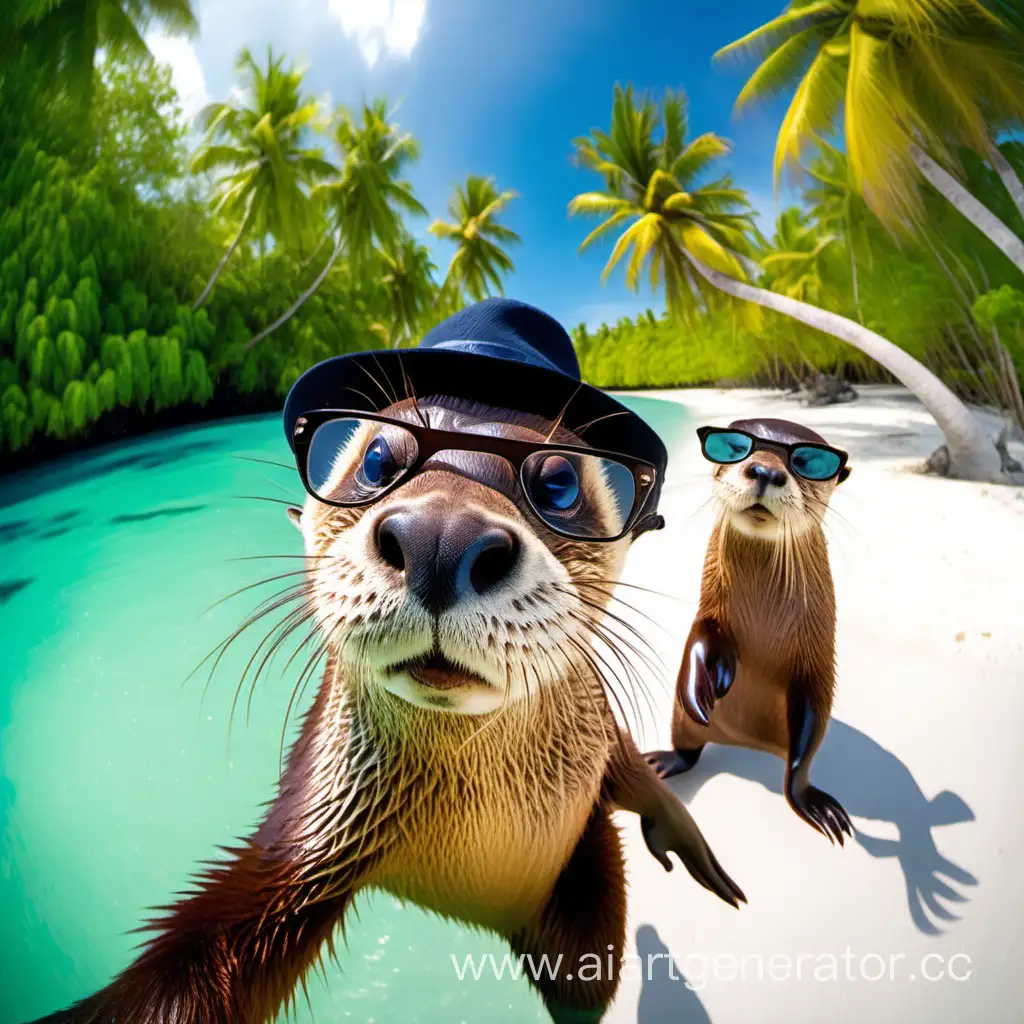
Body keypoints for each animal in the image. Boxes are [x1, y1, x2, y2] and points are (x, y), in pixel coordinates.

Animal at [34, 303, 745, 1024]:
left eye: (559, 483)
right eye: (377, 459)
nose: (442, 536)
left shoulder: (596, 737)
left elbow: (626, 773)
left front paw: (681, 830)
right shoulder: (314, 832)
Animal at [647, 419, 856, 843]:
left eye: (808, 461)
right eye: (733, 446)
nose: (765, 471)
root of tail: (748, 743)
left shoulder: (815, 662)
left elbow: (808, 718)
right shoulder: (710, 606)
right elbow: (698, 637)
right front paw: (703, 690)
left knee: (796, 767)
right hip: (680, 723)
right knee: (688, 749)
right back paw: (662, 762)